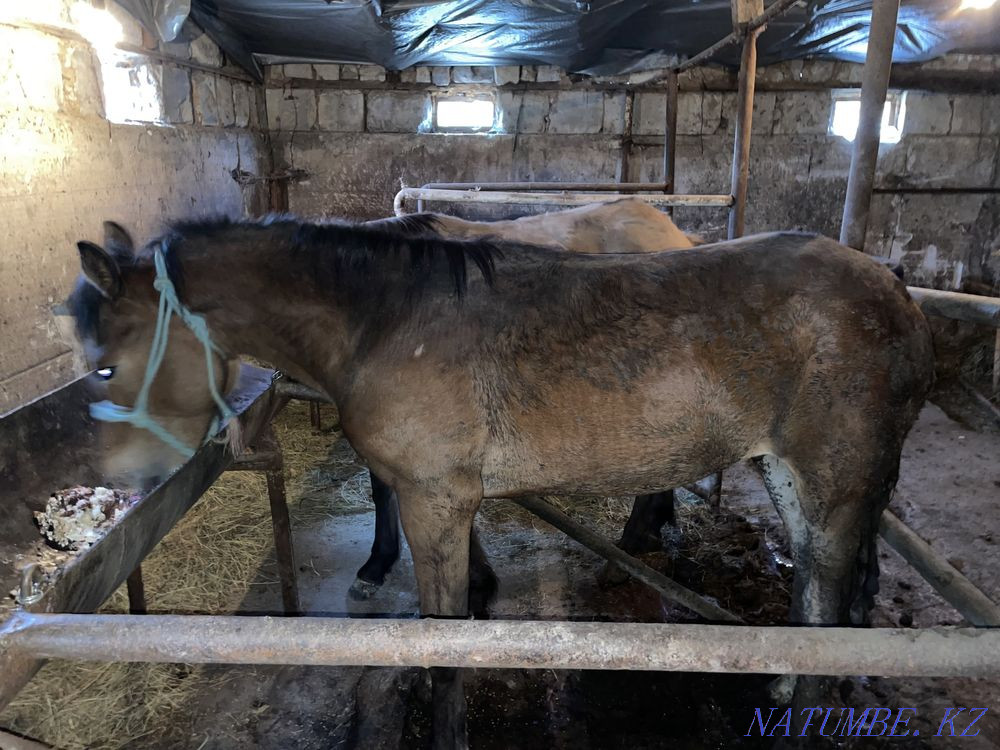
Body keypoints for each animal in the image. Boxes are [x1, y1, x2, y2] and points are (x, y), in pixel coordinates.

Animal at [67, 217, 935, 748]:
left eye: (105, 363)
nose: (117, 484)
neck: (384, 321)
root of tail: (894, 288)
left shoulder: (432, 501)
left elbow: (446, 645)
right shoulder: (449, 499)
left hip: (836, 485)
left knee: (832, 597)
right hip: (788, 474)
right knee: (814, 596)